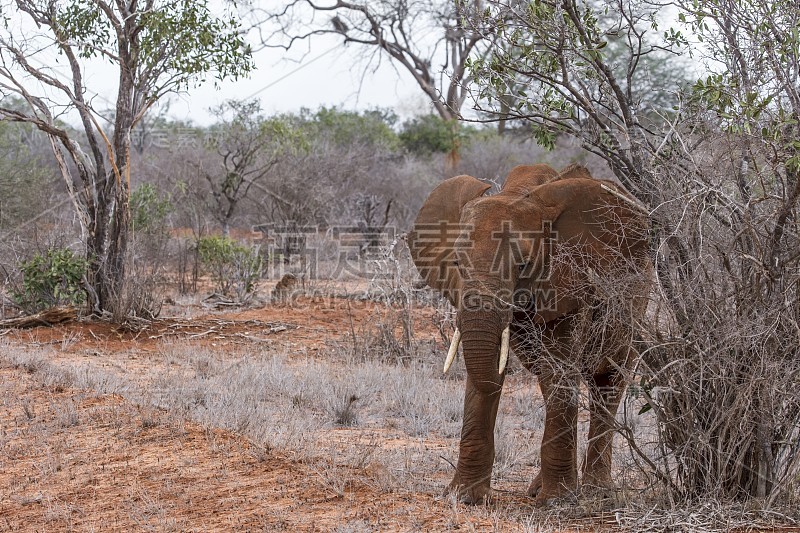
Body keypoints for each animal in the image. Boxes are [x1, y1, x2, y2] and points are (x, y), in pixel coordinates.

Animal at [406, 162, 648, 502]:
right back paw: (539, 489)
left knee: (608, 382)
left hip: (635, 302)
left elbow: (559, 370)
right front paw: (465, 498)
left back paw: (596, 491)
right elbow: (498, 370)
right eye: (457, 263)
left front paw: (558, 501)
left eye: (524, 265)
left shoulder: (570, 283)